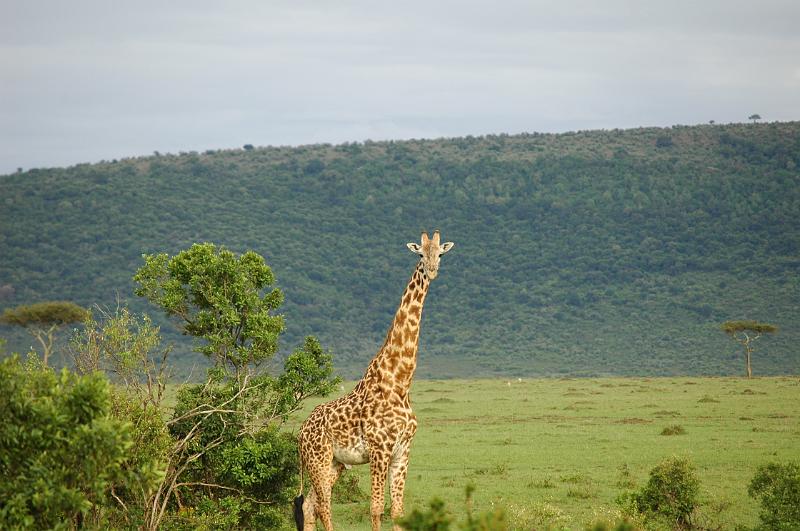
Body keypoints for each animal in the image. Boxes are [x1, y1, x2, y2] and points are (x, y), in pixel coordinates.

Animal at [295, 230, 454, 531]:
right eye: (419, 253)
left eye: (440, 253)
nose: (432, 270)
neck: (400, 382)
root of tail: (300, 432)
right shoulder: (380, 449)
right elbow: (376, 508)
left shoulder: (402, 450)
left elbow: (398, 510)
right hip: (318, 458)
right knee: (324, 505)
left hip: (335, 463)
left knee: (310, 505)